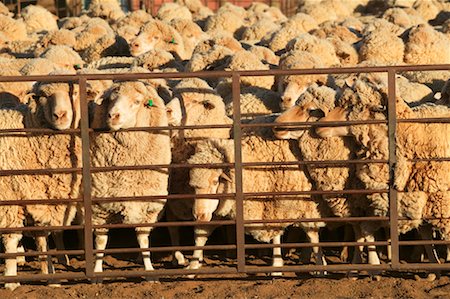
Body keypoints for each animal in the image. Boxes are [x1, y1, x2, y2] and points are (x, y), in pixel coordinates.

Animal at [89, 81, 171, 278]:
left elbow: (143, 239)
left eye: (137, 101)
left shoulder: (147, 206)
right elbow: (101, 241)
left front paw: (149, 270)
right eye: (111, 99)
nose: (113, 115)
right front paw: (96, 272)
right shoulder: (99, 206)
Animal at [185, 125, 326, 276]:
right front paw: (193, 265)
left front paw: (319, 265)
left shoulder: (301, 204)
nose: (198, 215)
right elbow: (201, 234)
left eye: (215, 181)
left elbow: (312, 235)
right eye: (193, 186)